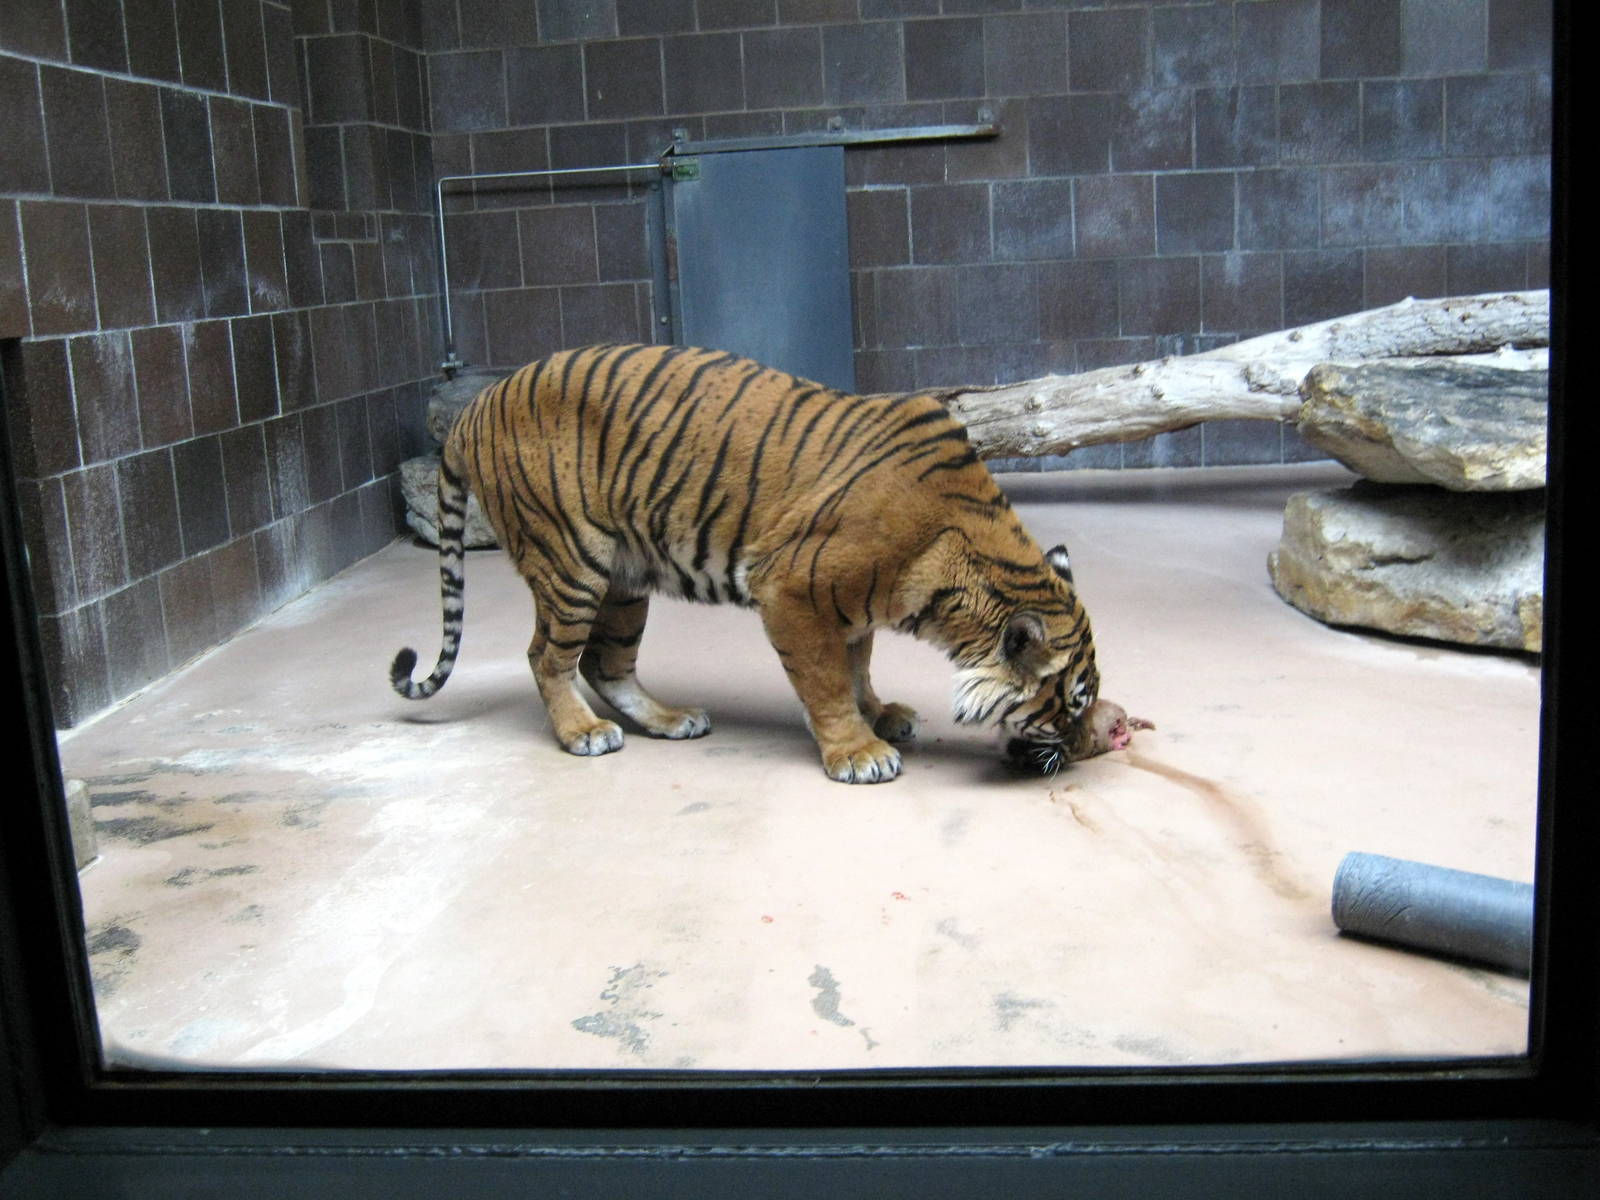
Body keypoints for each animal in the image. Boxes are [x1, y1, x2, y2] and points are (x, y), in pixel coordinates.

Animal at [390, 343, 1101, 784]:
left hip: (624, 580)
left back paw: (670, 720)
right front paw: (857, 751)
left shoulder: (855, 606)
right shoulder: (792, 589)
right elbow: (825, 680)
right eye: (1071, 704)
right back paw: (582, 733)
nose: (1092, 747)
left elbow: (857, 664)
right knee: (547, 656)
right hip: (571, 562)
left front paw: (878, 713)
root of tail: (473, 407)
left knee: (605, 663)